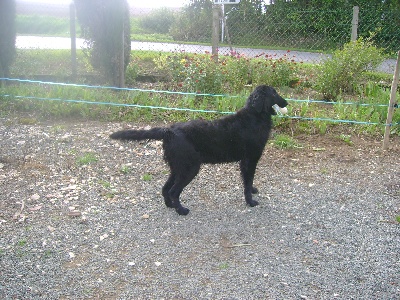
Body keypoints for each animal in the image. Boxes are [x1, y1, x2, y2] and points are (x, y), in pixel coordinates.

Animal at [110, 85, 288, 214]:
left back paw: (170, 206)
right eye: (274, 93)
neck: (254, 116)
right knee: (174, 191)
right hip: (190, 168)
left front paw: (253, 191)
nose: (287, 102)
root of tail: (169, 131)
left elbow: (249, 181)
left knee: (165, 188)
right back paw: (181, 210)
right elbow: (248, 181)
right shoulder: (250, 159)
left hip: (178, 167)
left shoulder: (248, 161)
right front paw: (250, 201)